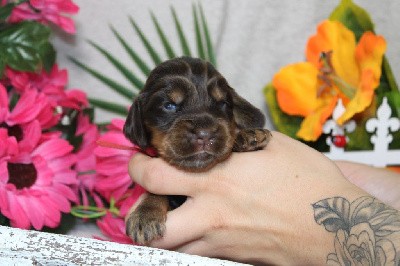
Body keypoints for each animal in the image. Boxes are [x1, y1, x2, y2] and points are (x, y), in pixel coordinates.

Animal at [123, 57, 270, 244]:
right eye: (169, 105)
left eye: (223, 104)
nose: (205, 135)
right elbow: (155, 193)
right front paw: (145, 215)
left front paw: (247, 136)